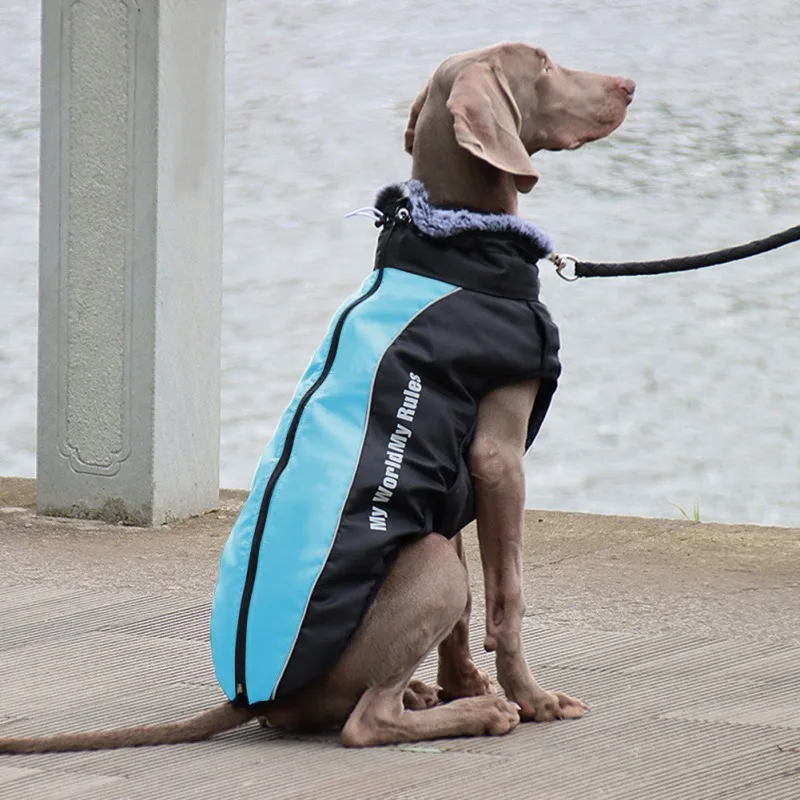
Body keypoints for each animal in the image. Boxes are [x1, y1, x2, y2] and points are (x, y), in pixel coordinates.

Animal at [1, 40, 636, 752]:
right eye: (544, 64)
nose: (629, 85)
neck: (454, 237)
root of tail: (254, 697)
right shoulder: (497, 459)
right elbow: (506, 597)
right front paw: (530, 698)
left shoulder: (449, 487)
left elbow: (468, 612)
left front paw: (464, 683)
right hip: (426, 562)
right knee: (365, 722)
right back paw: (479, 713)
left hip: (427, 547)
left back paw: (433, 695)